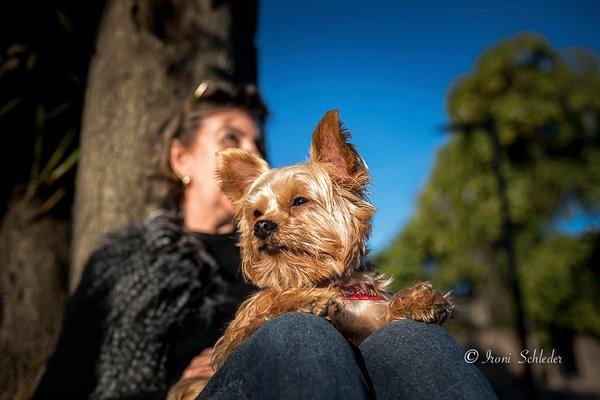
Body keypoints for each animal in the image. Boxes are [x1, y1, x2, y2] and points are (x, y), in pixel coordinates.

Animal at [166, 109, 452, 400]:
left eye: (299, 201)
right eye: (256, 213)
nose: (261, 226)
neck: (326, 281)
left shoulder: (368, 319)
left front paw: (416, 300)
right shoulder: (231, 343)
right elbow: (266, 302)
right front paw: (308, 299)